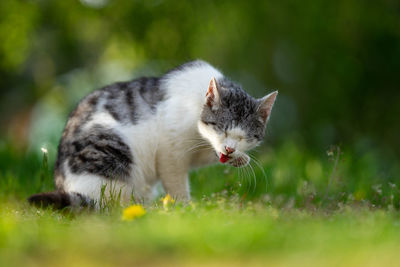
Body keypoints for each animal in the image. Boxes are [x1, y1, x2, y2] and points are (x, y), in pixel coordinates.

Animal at [28, 60, 278, 209]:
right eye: (221, 128)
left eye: (245, 137)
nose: (229, 148)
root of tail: (67, 186)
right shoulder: (170, 149)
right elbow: (176, 181)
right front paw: (185, 210)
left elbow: (208, 154)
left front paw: (241, 158)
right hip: (111, 153)